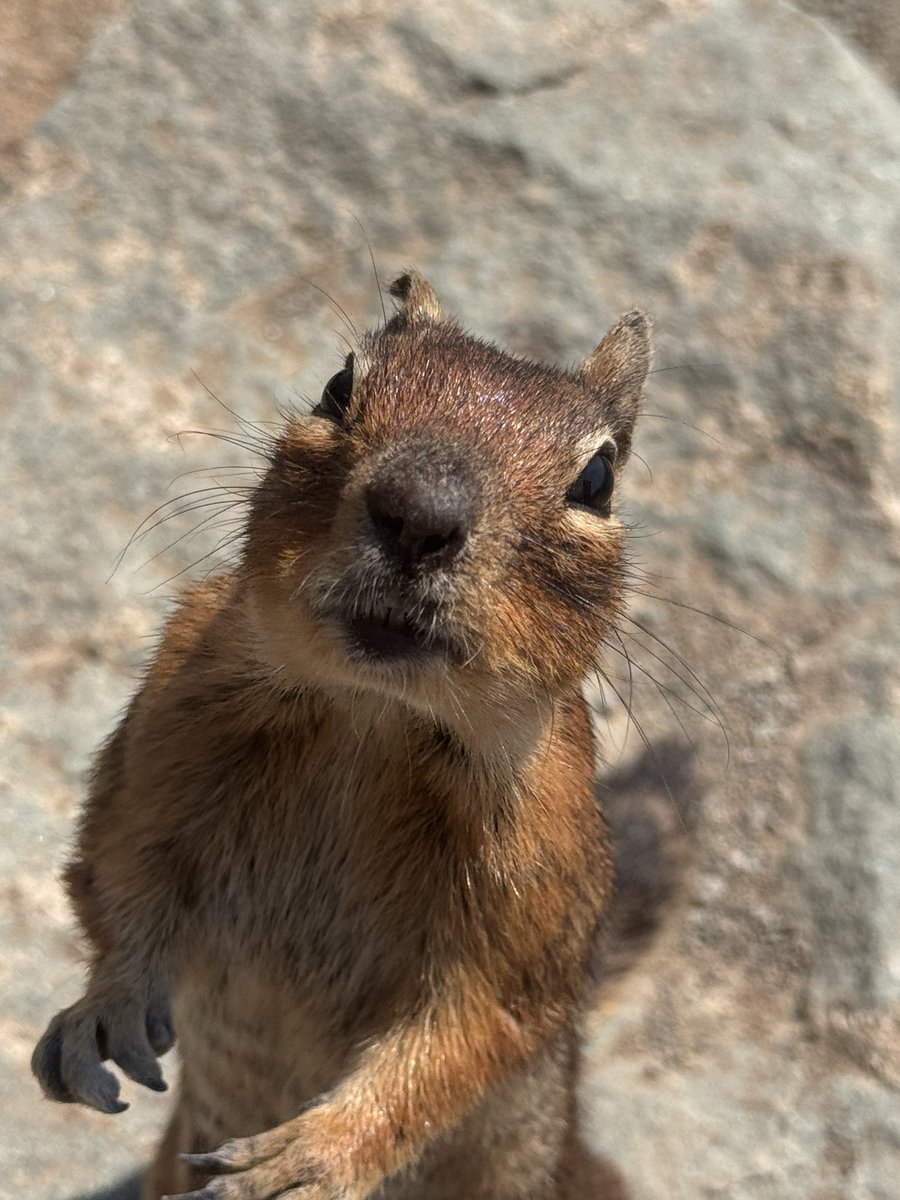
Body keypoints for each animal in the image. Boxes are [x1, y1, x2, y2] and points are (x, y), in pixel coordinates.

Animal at [32, 272, 658, 1200]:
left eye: (599, 476)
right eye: (337, 385)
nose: (418, 514)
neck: (372, 719)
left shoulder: (534, 868)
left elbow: (466, 1032)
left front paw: (310, 1156)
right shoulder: (163, 734)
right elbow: (117, 872)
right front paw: (99, 1015)